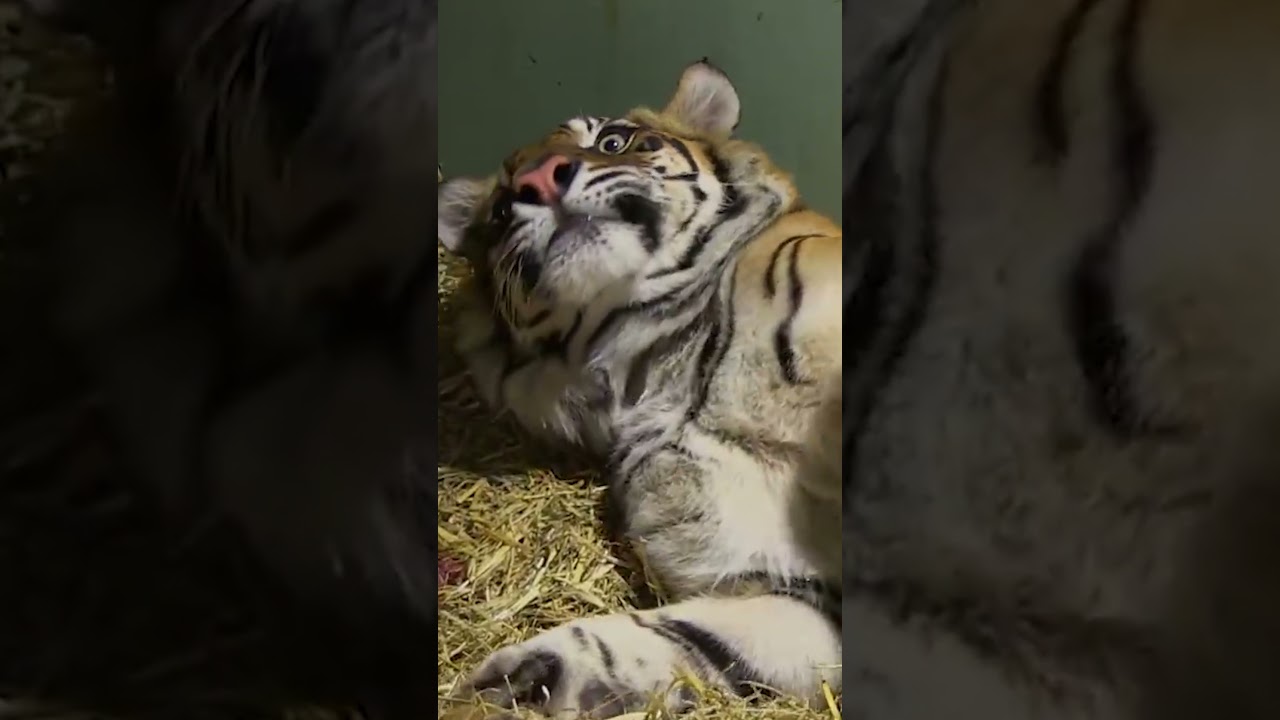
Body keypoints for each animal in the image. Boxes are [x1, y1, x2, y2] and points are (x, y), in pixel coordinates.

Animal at [437, 60, 843, 717]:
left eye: (611, 141)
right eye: (499, 211)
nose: (537, 180)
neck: (664, 361)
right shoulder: (802, 595)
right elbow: (694, 636)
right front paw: (522, 683)